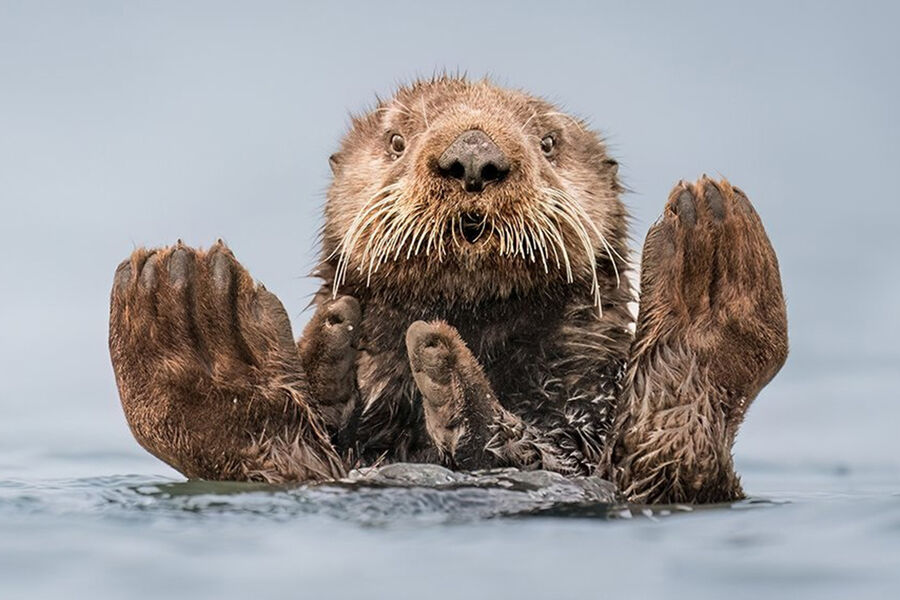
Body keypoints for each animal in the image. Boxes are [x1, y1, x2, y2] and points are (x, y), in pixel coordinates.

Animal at [109, 77, 788, 504]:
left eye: (548, 142)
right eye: (396, 140)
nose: (473, 155)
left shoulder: (585, 410)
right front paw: (333, 349)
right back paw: (198, 322)